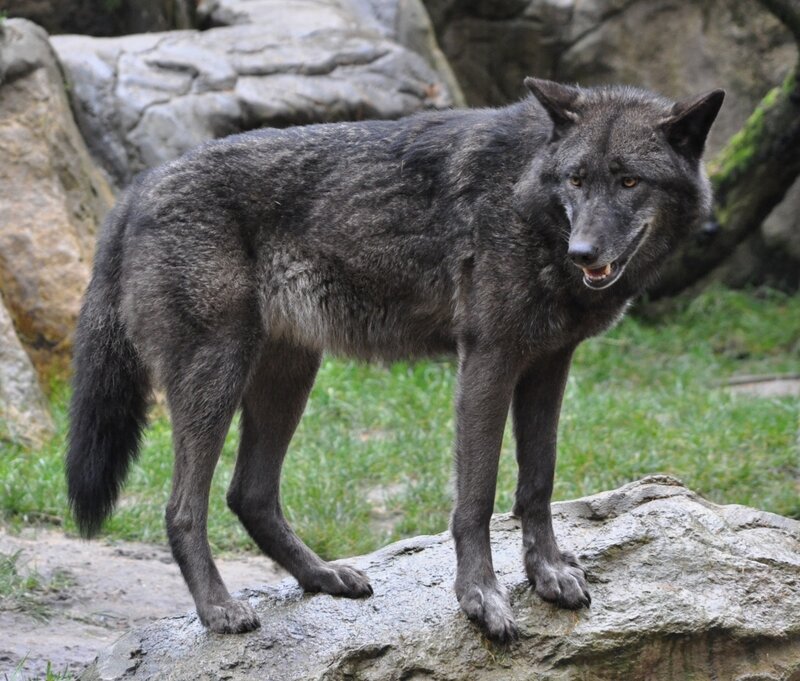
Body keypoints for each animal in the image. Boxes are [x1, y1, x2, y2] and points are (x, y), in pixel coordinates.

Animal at [66, 78, 723, 641]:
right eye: (577, 179)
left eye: (630, 182)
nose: (582, 250)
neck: (525, 193)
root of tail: (138, 186)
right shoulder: (487, 361)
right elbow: (476, 499)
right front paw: (481, 599)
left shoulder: (548, 365)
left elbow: (537, 481)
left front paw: (549, 574)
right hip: (217, 374)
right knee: (183, 509)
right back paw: (219, 611)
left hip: (287, 377)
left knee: (247, 495)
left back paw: (322, 577)